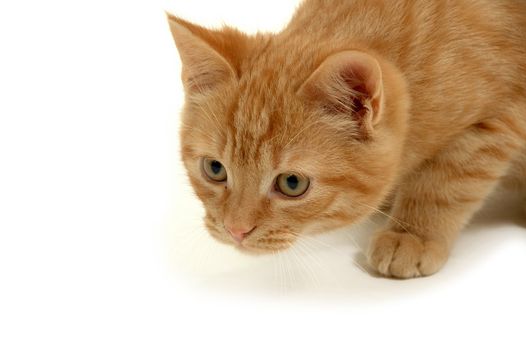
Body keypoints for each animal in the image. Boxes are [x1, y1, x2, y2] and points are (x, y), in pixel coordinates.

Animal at [169, 0, 526, 278]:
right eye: (214, 169)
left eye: (292, 184)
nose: (236, 230)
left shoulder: (501, 117)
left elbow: (445, 183)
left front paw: (411, 233)